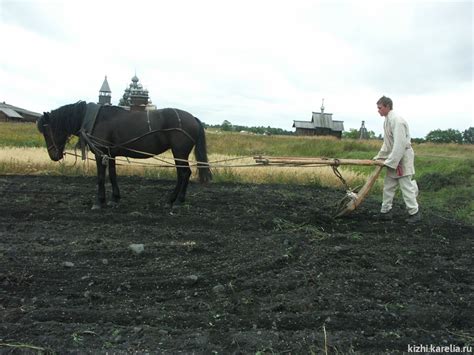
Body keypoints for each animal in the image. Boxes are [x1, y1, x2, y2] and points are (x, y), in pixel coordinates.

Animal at [38, 100, 212, 210]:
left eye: (47, 131)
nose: (53, 155)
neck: (95, 119)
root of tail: (193, 118)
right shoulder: (110, 154)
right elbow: (112, 175)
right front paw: (114, 199)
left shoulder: (100, 153)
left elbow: (100, 177)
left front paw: (99, 202)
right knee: (183, 174)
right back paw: (174, 200)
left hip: (179, 152)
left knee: (184, 174)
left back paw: (175, 201)